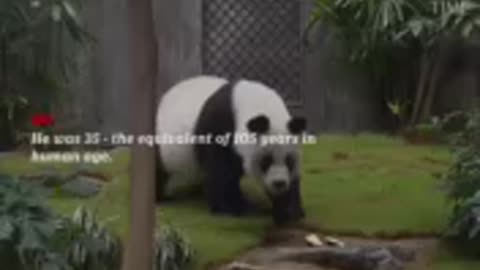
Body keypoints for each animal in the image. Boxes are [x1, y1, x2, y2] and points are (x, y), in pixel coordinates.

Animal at [156, 75, 306, 225]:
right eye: (266, 161)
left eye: (289, 161)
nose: (279, 183)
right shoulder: (219, 124)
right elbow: (220, 170)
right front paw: (233, 209)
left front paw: (288, 210)